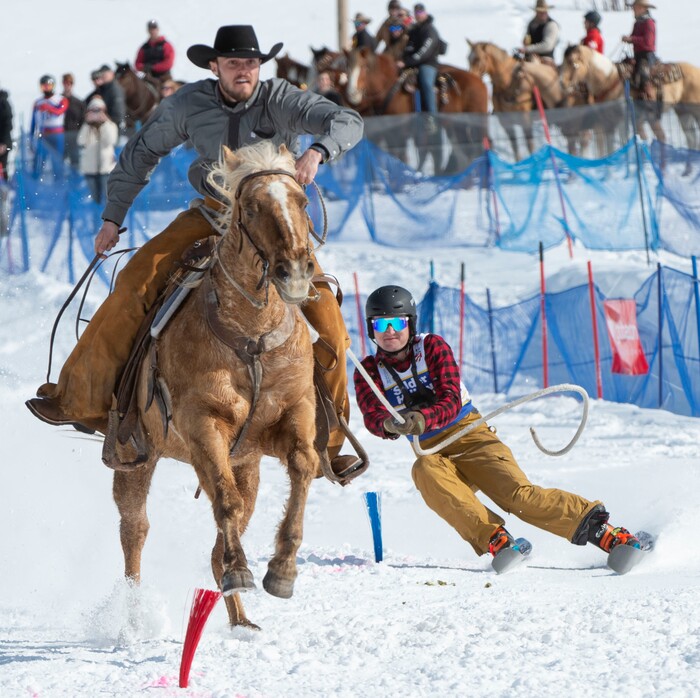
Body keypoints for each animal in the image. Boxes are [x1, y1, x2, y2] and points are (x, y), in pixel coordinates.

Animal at [110, 141, 320, 629]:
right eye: (252, 207)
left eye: (302, 201)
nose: (295, 271)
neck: (252, 339)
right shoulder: (204, 424)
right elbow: (225, 501)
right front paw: (242, 570)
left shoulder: (294, 413)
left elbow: (304, 466)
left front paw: (282, 571)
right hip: (135, 457)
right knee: (135, 530)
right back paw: (134, 615)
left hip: (247, 464)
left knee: (218, 536)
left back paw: (241, 619)